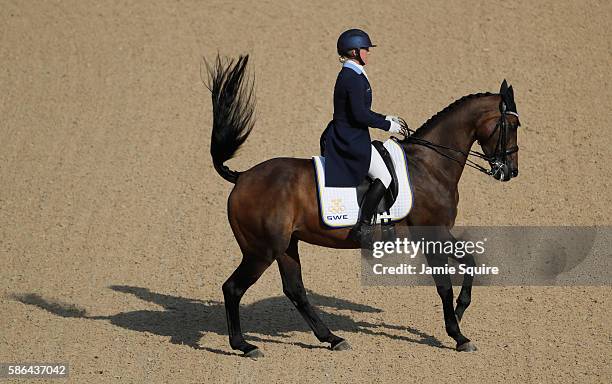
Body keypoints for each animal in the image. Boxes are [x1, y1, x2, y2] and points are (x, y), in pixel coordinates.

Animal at [203, 54, 520, 356]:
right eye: (514, 125)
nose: (510, 172)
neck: (430, 166)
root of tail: (243, 177)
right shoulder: (432, 234)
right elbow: (444, 285)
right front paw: (458, 335)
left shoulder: (440, 234)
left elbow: (471, 262)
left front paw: (459, 312)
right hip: (261, 250)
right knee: (233, 288)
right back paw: (245, 345)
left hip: (285, 246)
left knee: (295, 290)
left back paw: (332, 339)